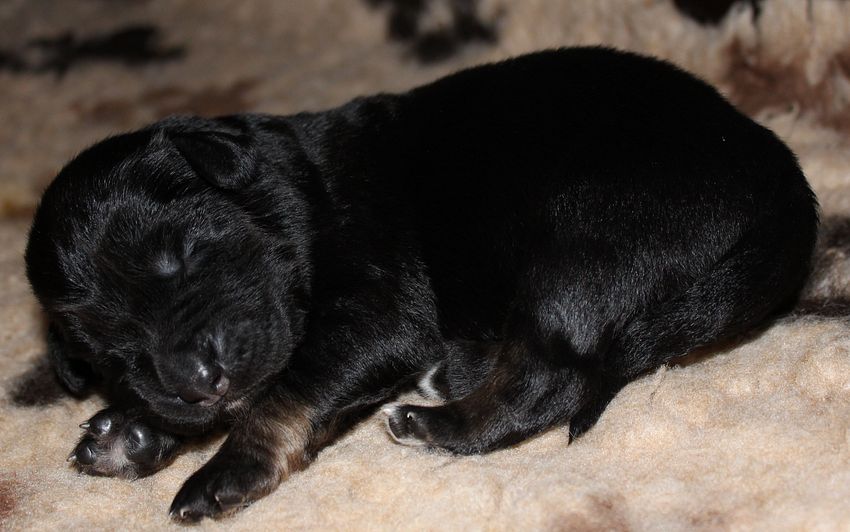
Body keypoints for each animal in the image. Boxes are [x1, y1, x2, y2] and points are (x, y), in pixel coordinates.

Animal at [24, 47, 818, 522]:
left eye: (185, 256)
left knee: (553, 375)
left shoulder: (378, 311)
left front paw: (226, 470)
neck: (292, 194)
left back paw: (436, 424)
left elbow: (285, 389)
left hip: (588, 232)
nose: (198, 379)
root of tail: (790, 200)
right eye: (107, 348)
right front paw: (130, 432)